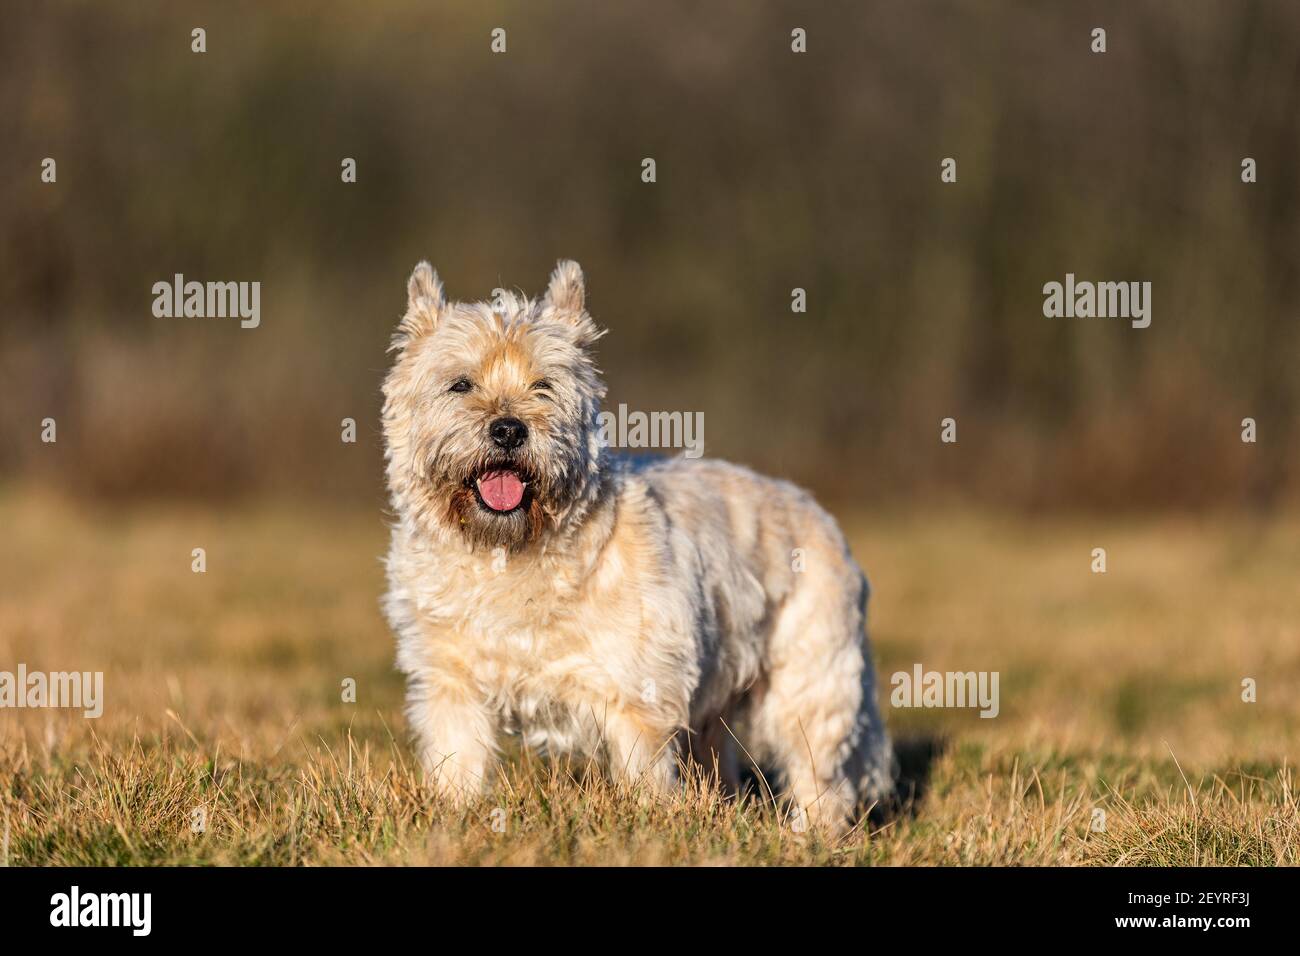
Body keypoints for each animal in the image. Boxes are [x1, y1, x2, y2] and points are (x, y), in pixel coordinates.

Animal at [379, 260, 899, 832]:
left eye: (543, 385)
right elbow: (459, 760)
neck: (511, 551)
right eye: (460, 384)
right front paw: (456, 814)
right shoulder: (451, 684)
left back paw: (812, 835)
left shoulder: (637, 694)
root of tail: (821, 515)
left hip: (808, 682)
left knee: (818, 775)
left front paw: (648, 823)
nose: (509, 429)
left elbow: (643, 775)